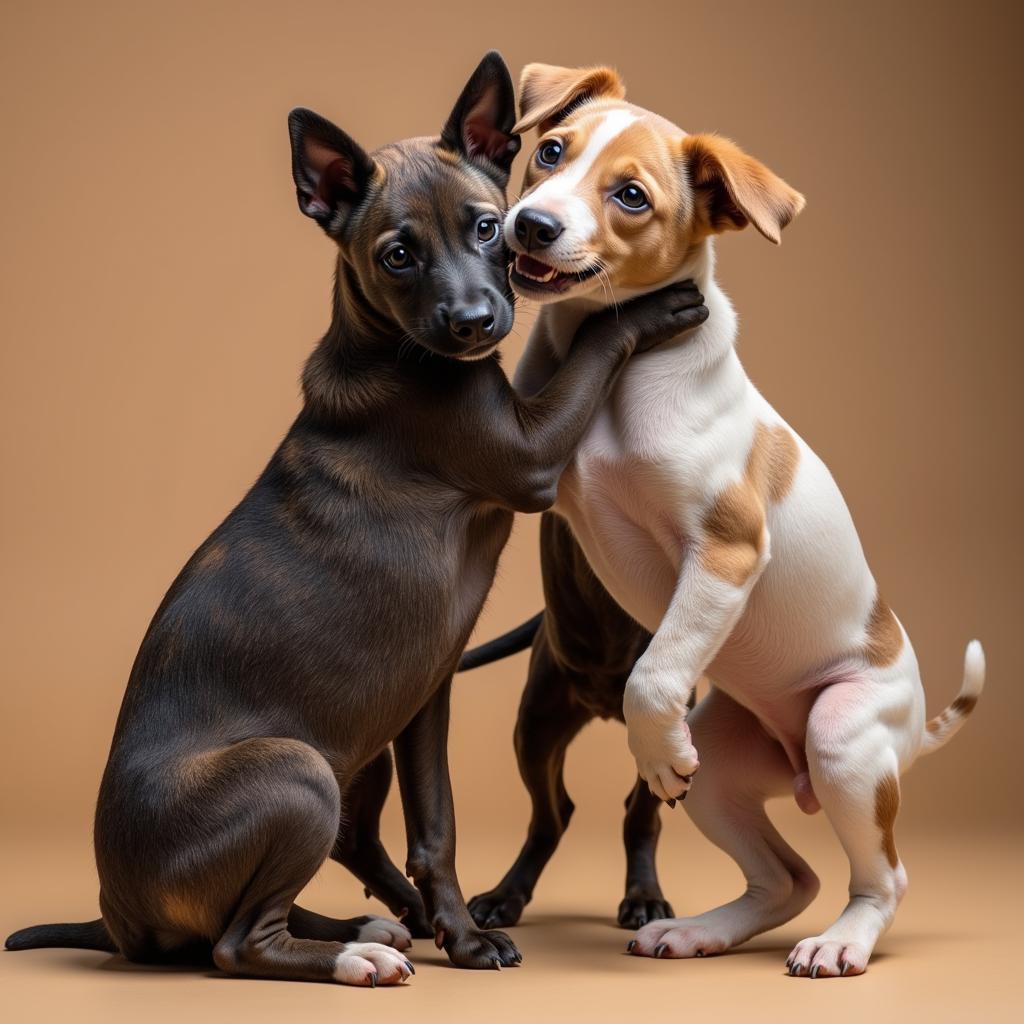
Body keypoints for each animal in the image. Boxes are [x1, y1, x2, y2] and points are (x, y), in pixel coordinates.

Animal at [2, 54, 712, 983]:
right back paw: (352, 955)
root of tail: (116, 918)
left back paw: (380, 922)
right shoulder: (530, 457)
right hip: (301, 769)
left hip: (364, 743)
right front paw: (652, 309)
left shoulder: (427, 698)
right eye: (398, 255)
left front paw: (461, 935)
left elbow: (436, 829)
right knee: (237, 943)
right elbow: (595, 346)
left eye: (489, 228)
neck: (389, 348)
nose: (475, 322)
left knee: (334, 857)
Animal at [464, 64, 983, 974]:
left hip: (843, 741)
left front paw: (653, 748)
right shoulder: (536, 472)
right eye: (551, 151)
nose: (530, 224)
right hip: (726, 767)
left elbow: (654, 673)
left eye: (631, 195)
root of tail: (911, 728)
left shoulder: (724, 553)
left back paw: (840, 943)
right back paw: (698, 930)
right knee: (789, 877)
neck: (617, 377)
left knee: (882, 877)